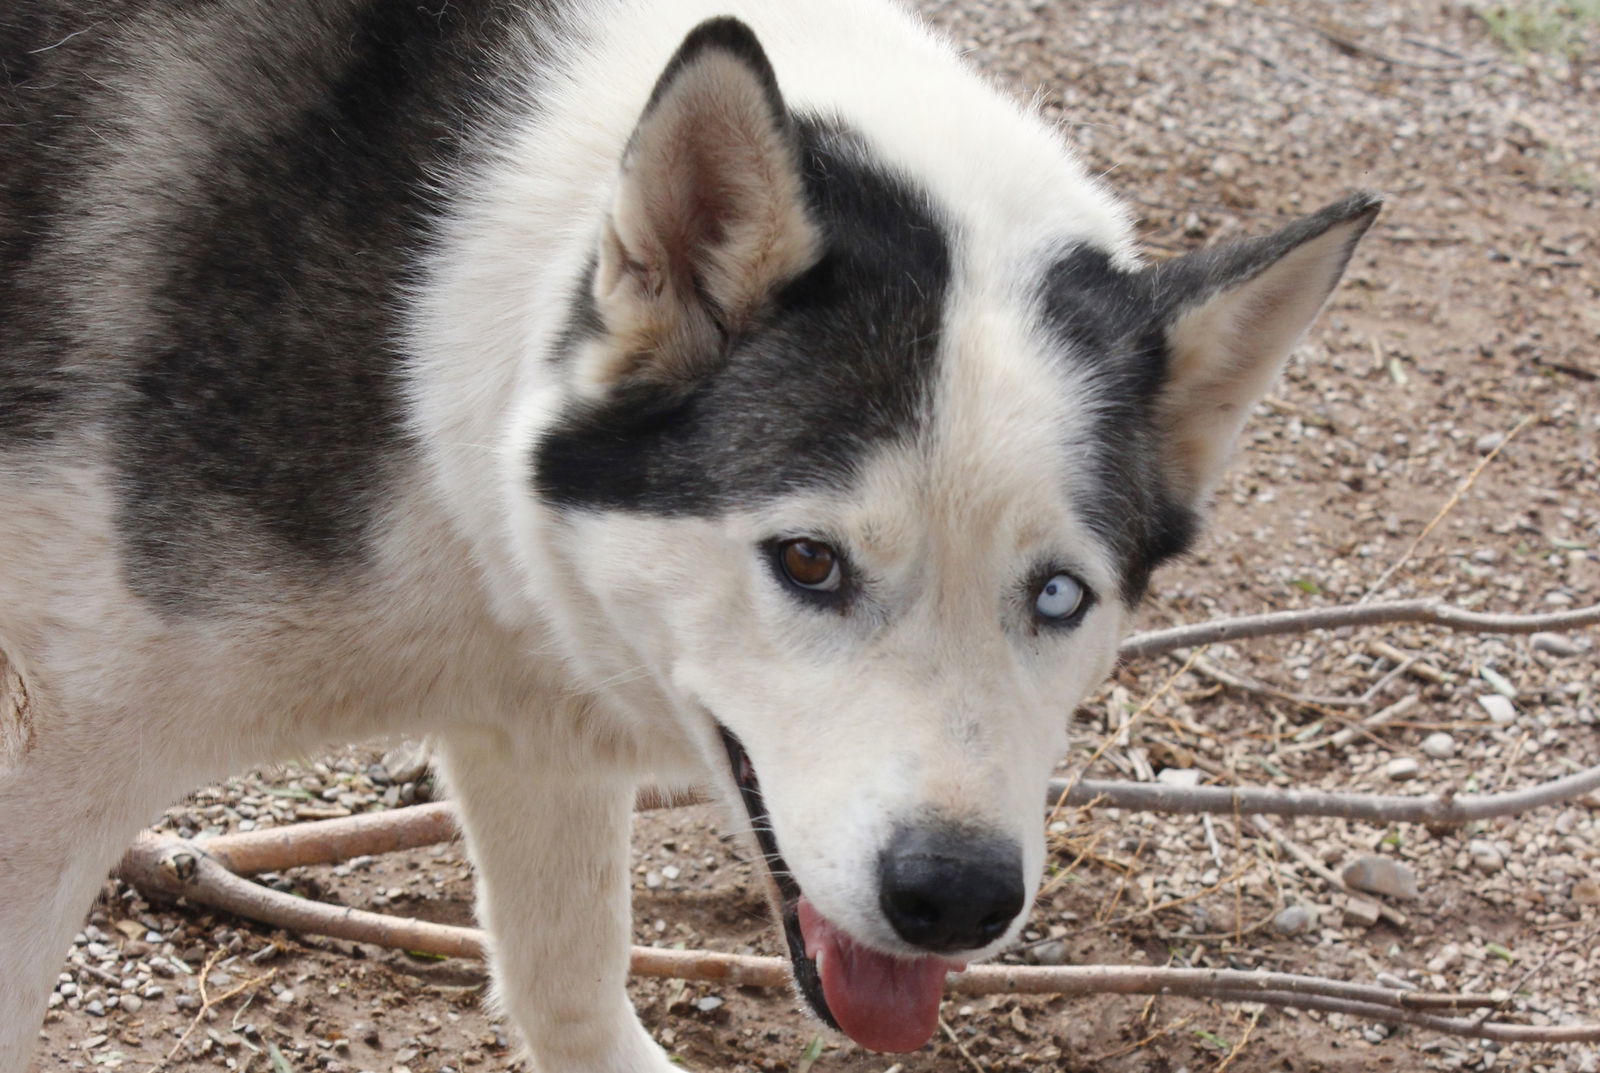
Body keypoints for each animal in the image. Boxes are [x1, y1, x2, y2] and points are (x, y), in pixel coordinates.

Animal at [0, 0, 1376, 1068]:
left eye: (1056, 596)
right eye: (809, 560)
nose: (953, 896)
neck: (423, 311)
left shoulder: (528, 727)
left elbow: (568, 987)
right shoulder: (50, 779)